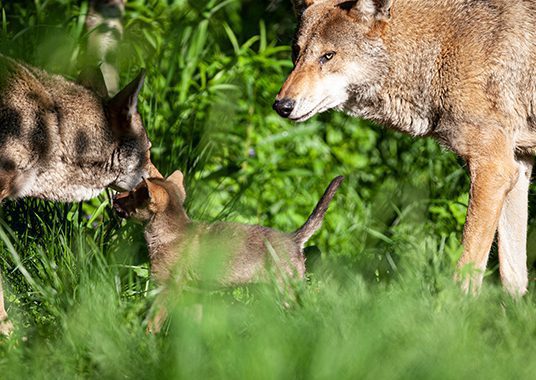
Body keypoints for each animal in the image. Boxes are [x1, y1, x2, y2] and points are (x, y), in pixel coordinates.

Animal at [274, 0, 536, 294]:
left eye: (328, 56)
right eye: (296, 51)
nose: (281, 105)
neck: (441, 48)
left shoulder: (493, 169)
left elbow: (465, 274)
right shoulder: (517, 169)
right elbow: (514, 279)